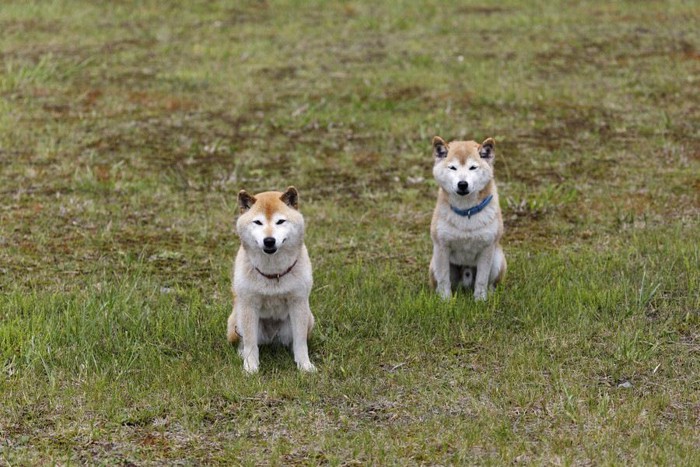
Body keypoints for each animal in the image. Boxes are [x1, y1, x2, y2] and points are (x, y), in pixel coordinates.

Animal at [226, 186, 316, 372]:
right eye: (258, 222)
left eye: (280, 221)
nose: (269, 241)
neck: (274, 272)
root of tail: (272, 339)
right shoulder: (249, 304)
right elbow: (250, 343)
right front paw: (251, 367)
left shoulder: (298, 302)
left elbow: (300, 342)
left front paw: (304, 365)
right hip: (236, 321)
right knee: (244, 340)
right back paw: (241, 353)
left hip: (308, 319)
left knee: (294, 341)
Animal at [430, 137, 506, 302]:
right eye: (453, 168)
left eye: (473, 167)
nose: (463, 184)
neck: (466, 211)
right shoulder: (441, 247)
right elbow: (444, 280)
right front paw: (445, 301)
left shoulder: (487, 248)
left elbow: (482, 280)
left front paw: (480, 301)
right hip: (435, 263)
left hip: (497, 259)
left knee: (491, 284)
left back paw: (491, 295)